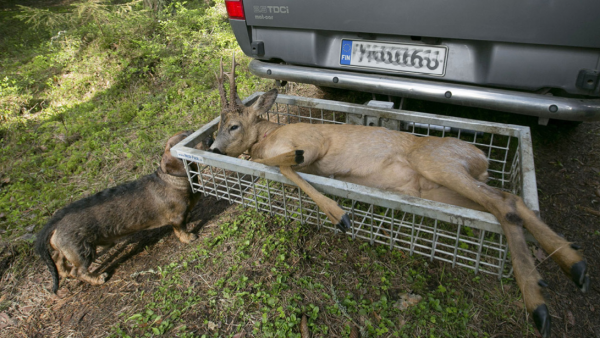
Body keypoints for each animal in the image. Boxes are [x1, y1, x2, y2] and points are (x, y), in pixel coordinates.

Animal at [36, 131, 200, 292]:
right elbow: (181, 229)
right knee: (78, 271)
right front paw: (188, 237)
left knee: (58, 261)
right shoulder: (177, 217)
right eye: (186, 140)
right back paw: (97, 278)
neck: (170, 180)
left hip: (64, 249)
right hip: (83, 252)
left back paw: (66, 272)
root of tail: (55, 222)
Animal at [209, 56, 588, 338]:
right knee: (509, 199)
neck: (269, 135)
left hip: (438, 163)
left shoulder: (314, 141)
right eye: (218, 125)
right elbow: (274, 163)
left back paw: (541, 301)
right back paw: (572, 267)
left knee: (503, 202)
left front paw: (340, 215)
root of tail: (482, 158)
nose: (212, 148)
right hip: (439, 189)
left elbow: (280, 162)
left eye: (233, 125)